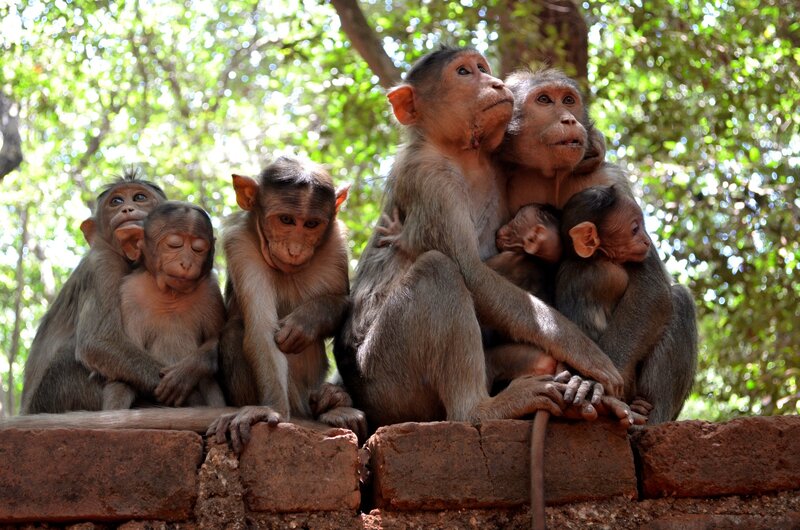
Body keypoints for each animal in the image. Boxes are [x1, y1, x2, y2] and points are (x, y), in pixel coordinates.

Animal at [101, 201, 226, 409]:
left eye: (198, 249)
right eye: (174, 245)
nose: (186, 263)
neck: (170, 294)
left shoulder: (209, 291)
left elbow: (214, 338)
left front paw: (188, 372)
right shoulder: (129, 294)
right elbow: (125, 357)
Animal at [207, 156, 366, 453]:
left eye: (311, 224)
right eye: (286, 220)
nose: (295, 249)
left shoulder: (335, 242)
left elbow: (342, 302)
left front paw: (306, 321)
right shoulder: (240, 244)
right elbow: (261, 332)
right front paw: (271, 410)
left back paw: (335, 406)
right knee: (235, 331)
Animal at [334, 46, 632, 438]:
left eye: (482, 68)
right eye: (464, 72)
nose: (494, 83)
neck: (461, 154)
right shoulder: (430, 180)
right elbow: (470, 272)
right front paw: (587, 354)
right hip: (386, 381)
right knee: (438, 270)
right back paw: (479, 409)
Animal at [498, 68, 697, 425]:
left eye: (568, 100)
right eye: (544, 100)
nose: (568, 119)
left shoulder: (607, 182)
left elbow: (652, 289)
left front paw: (593, 381)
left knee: (678, 298)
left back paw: (651, 413)